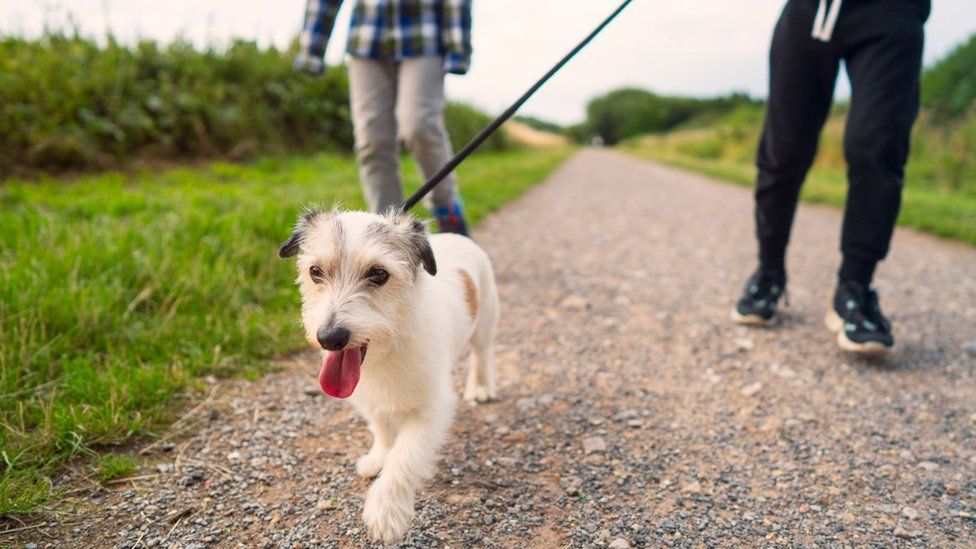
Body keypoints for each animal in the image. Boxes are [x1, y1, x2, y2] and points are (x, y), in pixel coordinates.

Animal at [278, 208, 500, 540]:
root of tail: (458, 236)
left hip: (484, 324)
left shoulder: (430, 411)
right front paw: (377, 459)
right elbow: (382, 430)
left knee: (481, 355)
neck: (390, 347)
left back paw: (481, 387)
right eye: (315, 271)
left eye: (379, 274)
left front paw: (385, 511)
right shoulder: (369, 399)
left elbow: (404, 457)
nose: (330, 338)